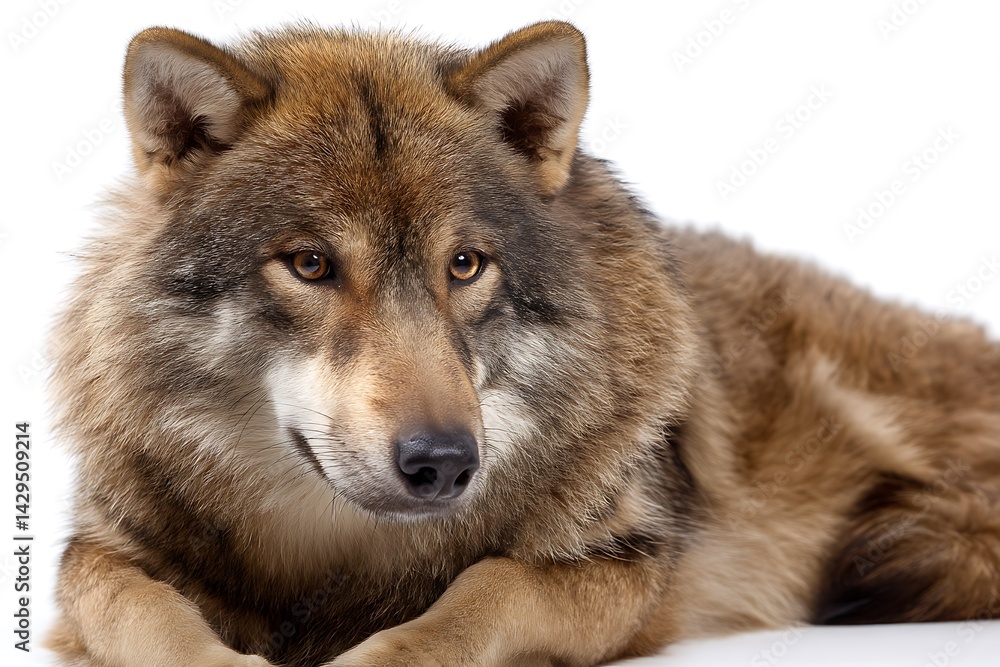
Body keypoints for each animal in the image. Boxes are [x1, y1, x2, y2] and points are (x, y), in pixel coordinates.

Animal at [48, 20, 1000, 667]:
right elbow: (149, 613)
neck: (340, 552)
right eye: (311, 263)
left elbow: (486, 587)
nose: (442, 461)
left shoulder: (625, 565)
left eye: (464, 264)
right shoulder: (96, 554)